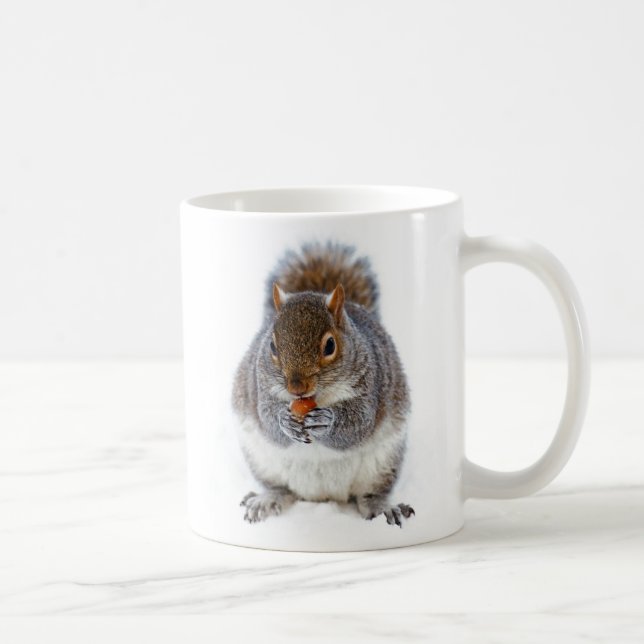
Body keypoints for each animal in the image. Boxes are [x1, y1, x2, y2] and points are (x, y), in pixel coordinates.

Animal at [232, 242, 414, 527]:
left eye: (330, 345)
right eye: (271, 345)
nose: (296, 387)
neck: (317, 397)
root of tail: (322, 495)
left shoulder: (371, 385)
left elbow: (358, 424)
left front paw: (327, 421)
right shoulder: (259, 386)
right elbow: (267, 419)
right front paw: (284, 421)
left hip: (383, 463)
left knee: (369, 494)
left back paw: (381, 506)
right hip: (262, 461)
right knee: (281, 489)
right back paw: (266, 499)